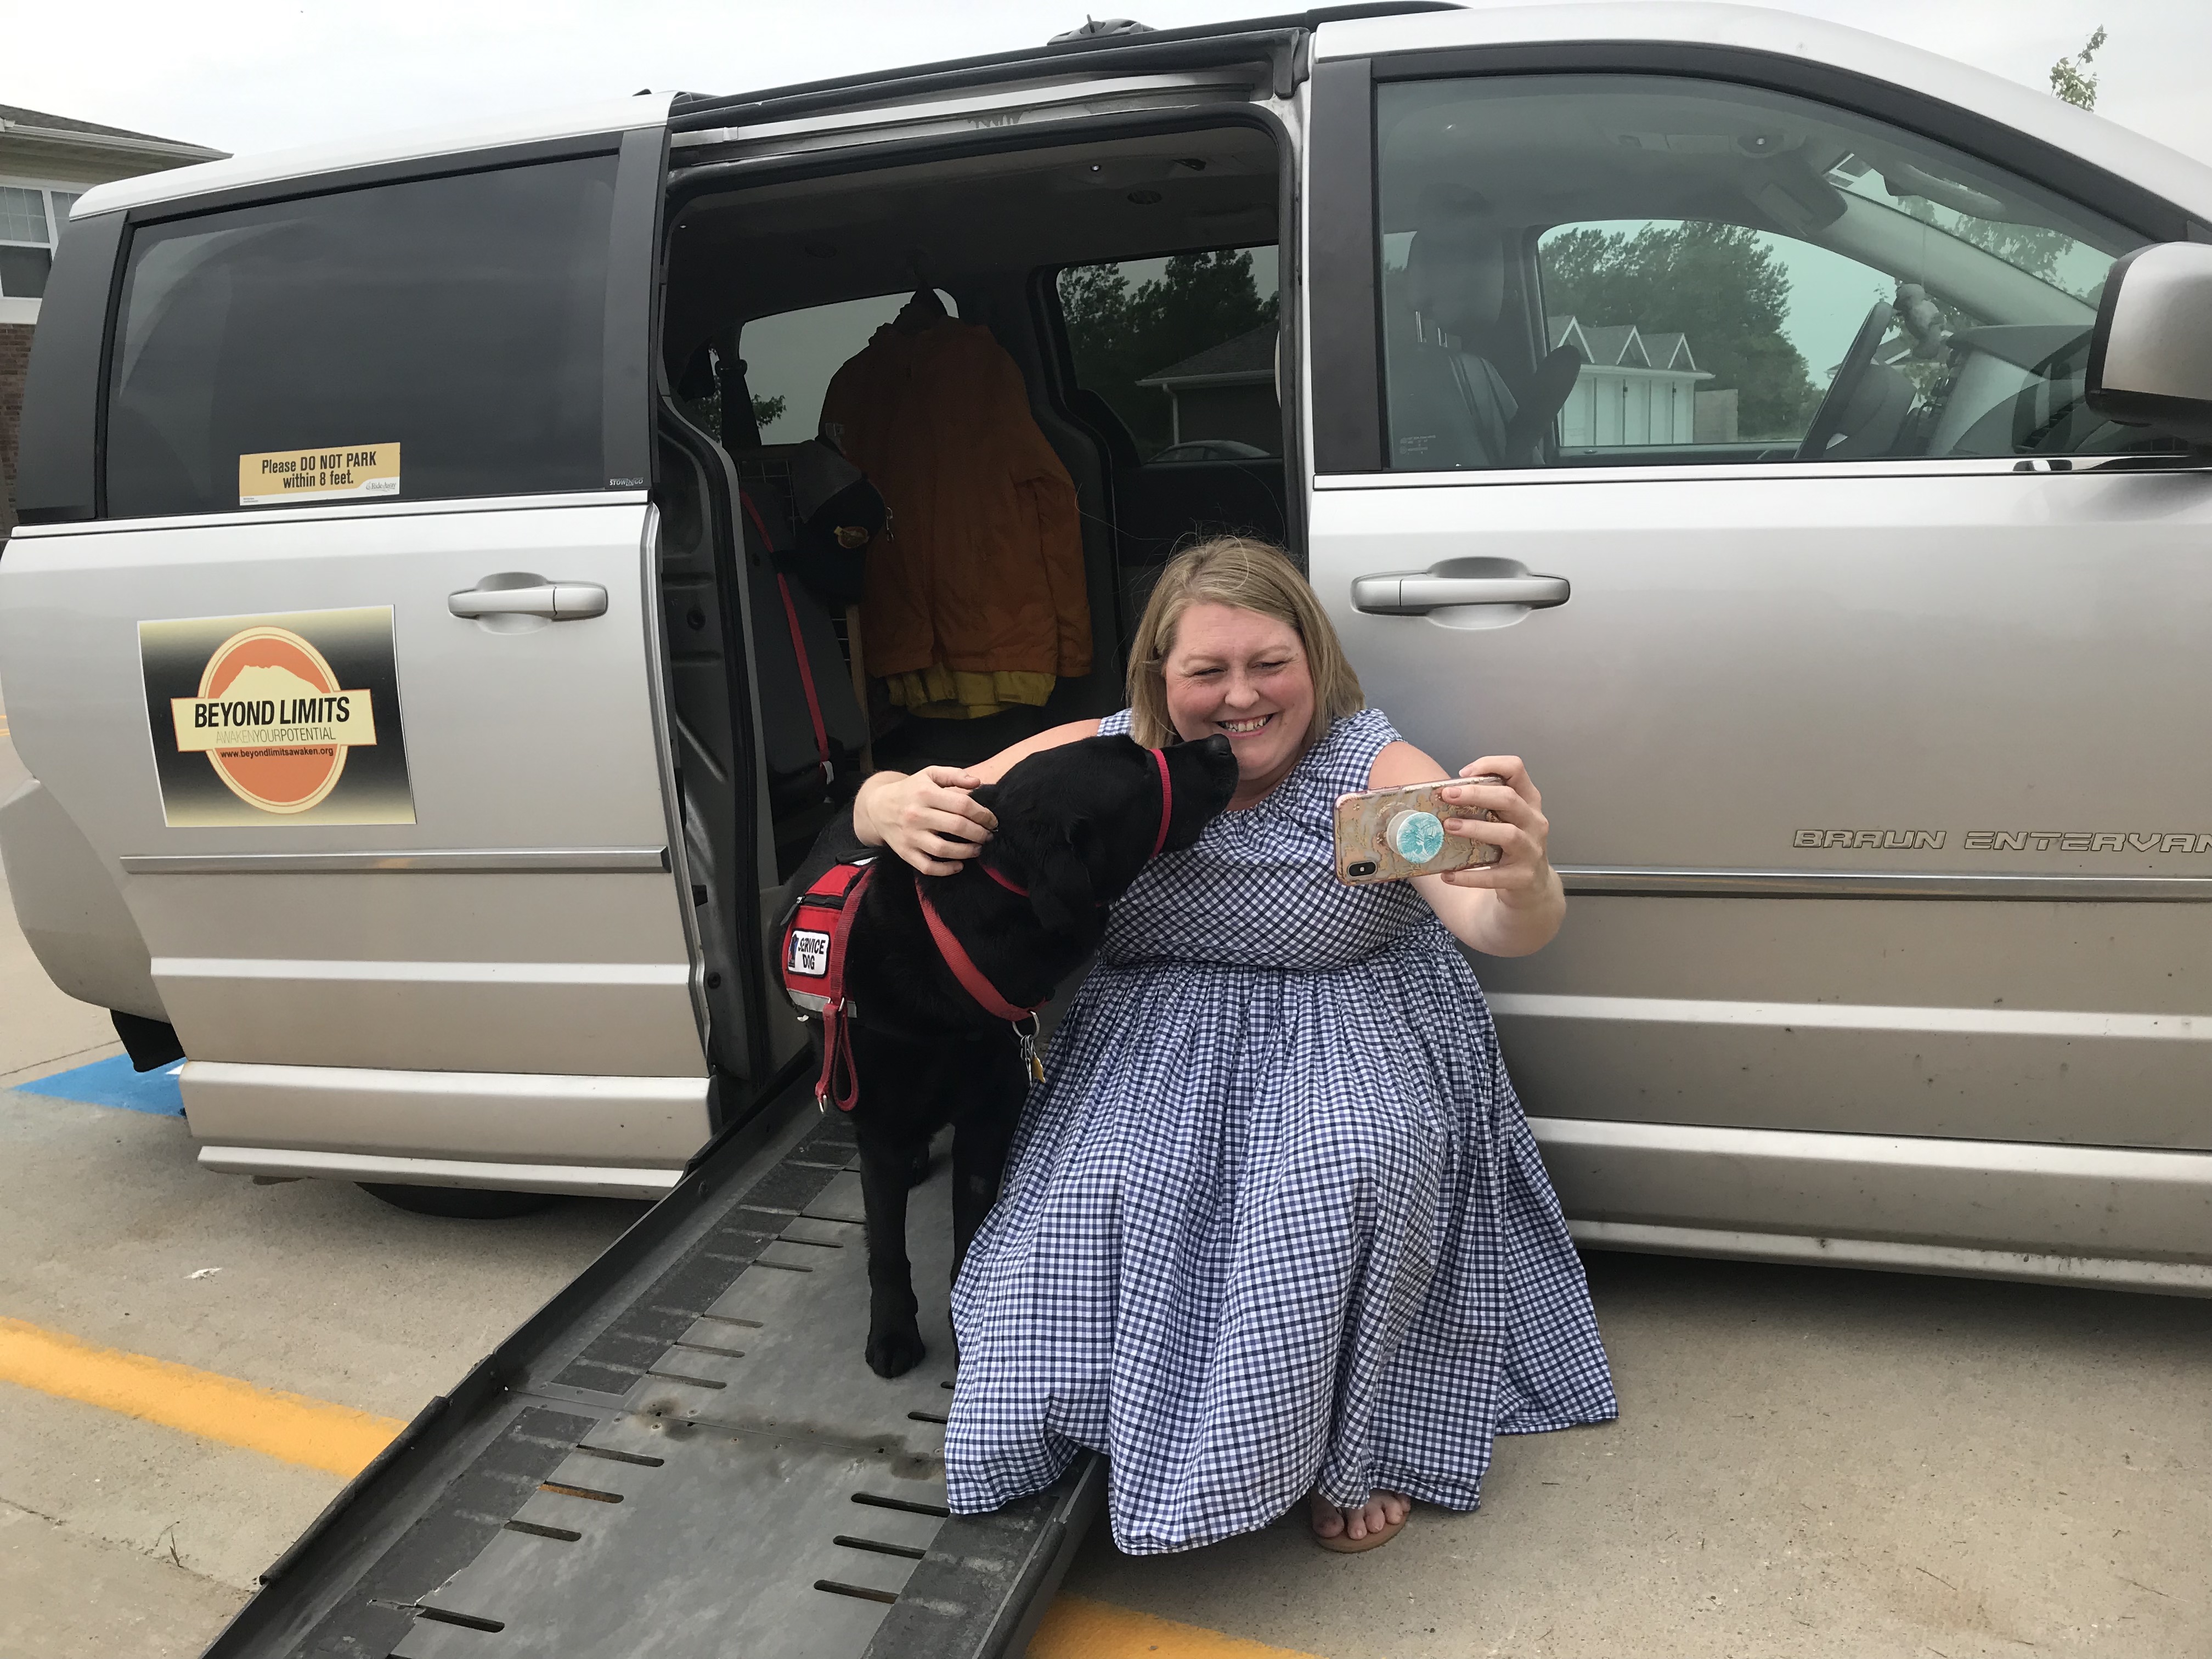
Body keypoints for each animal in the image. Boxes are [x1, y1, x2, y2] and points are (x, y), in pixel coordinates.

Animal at [792, 734, 1248, 1380]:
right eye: (1139, 768)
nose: (1220, 742)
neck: (952, 948)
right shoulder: (882, 1127)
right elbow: (886, 1244)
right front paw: (893, 1331)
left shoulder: (989, 1116)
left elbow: (972, 1229)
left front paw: (966, 1325)